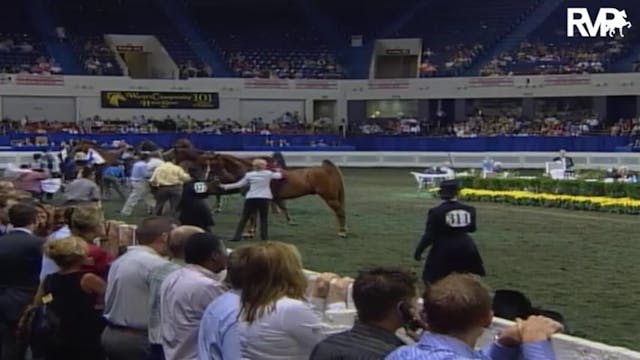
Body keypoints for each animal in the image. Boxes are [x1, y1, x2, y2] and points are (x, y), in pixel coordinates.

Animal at [206, 153, 348, 238]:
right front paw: (251, 232)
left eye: (213, 164)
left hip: (330, 198)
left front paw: (250, 232)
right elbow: (254, 216)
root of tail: (327, 169)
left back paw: (342, 232)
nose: (208, 179)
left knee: (340, 212)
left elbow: (252, 216)